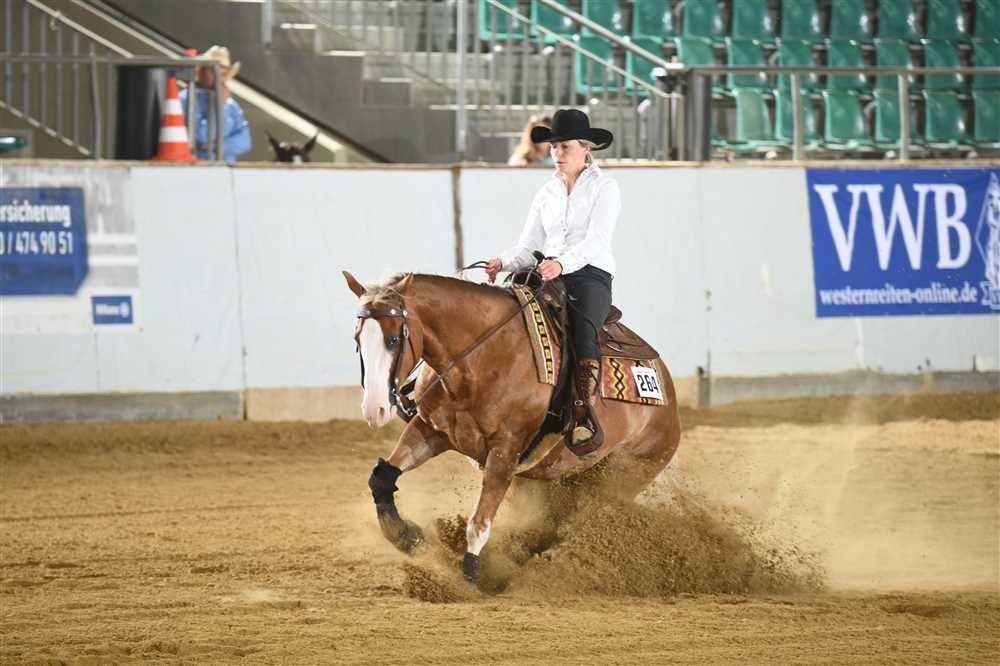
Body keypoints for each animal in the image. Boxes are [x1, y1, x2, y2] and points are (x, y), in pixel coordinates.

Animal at [343, 270, 681, 583]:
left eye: (394, 339)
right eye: (357, 340)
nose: (374, 409)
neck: (483, 357)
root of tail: (668, 396)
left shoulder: (505, 452)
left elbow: (479, 523)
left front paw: (471, 577)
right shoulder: (431, 430)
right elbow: (382, 478)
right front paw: (405, 536)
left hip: (621, 477)